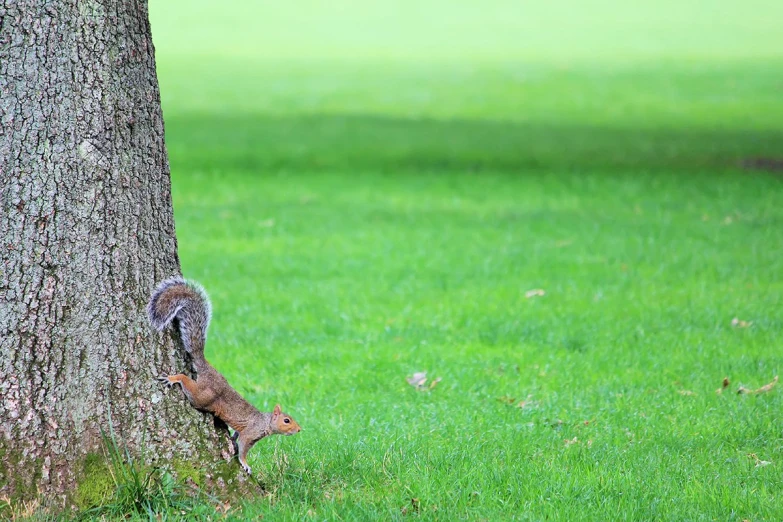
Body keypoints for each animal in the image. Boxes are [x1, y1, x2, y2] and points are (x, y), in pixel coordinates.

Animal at [147, 278, 300, 474]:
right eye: (287, 420)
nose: (299, 429)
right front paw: (245, 463)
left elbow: (236, 436)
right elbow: (243, 448)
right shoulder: (250, 433)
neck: (265, 422)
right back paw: (175, 378)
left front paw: (232, 440)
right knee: (187, 383)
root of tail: (207, 368)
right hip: (202, 396)